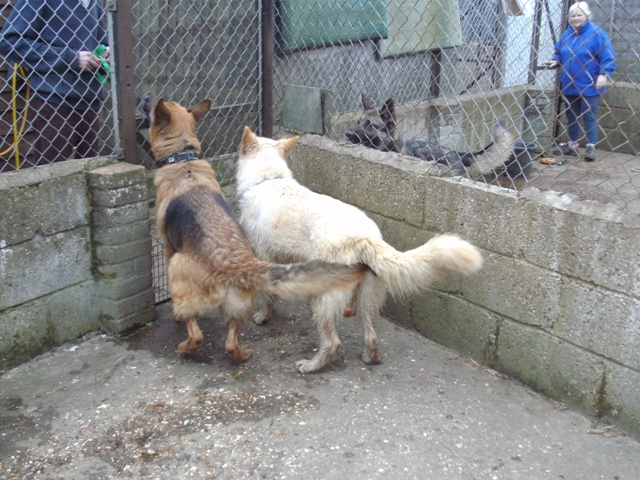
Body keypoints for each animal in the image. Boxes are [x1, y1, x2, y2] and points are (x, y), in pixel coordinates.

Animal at [144, 95, 364, 362]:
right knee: (231, 341)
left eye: (153, 112)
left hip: (180, 270)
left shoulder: (170, 247)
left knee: (197, 332)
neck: (184, 161)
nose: (146, 99)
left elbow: (266, 297)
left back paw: (186, 346)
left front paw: (264, 315)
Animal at [238, 126, 482, 372]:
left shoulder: (263, 258)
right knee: (372, 337)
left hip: (320, 299)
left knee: (332, 342)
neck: (267, 178)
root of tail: (364, 237)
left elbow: (267, 297)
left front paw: (262, 317)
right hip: (367, 300)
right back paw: (368, 358)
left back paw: (311, 366)